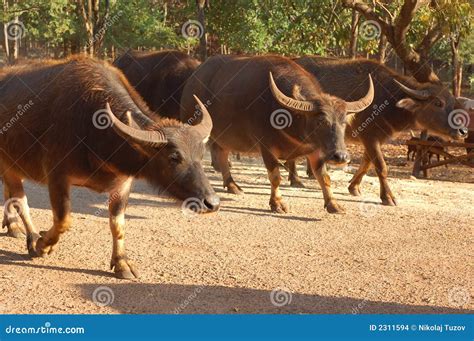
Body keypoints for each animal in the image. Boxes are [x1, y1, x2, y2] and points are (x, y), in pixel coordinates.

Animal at [0, 55, 218, 278]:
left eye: (201, 155)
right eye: (174, 157)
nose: (212, 203)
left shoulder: (123, 184)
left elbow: (118, 224)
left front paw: (122, 263)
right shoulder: (57, 175)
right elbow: (63, 219)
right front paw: (43, 244)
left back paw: (13, 226)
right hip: (9, 164)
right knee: (20, 200)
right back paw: (32, 237)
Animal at [179, 55, 374, 212]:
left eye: (343, 123)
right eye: (320, 121)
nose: (340, 156)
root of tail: (193, 78)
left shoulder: (316, 149)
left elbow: (324, 177)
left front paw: (333, 204)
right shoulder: (266, 147)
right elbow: (275, 177)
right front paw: (277, 203)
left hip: (224, 136)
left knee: (221, 154)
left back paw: (232, 185)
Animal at [286, 56, 468, 205]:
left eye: (453, 102)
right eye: (438, 103)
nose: (463, 131)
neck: (388, 100)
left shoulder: (373, 139)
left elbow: (367, 163)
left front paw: (354, 187)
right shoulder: (370, 137)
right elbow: (381, 166)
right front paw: (388, 197)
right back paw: (295, 179)